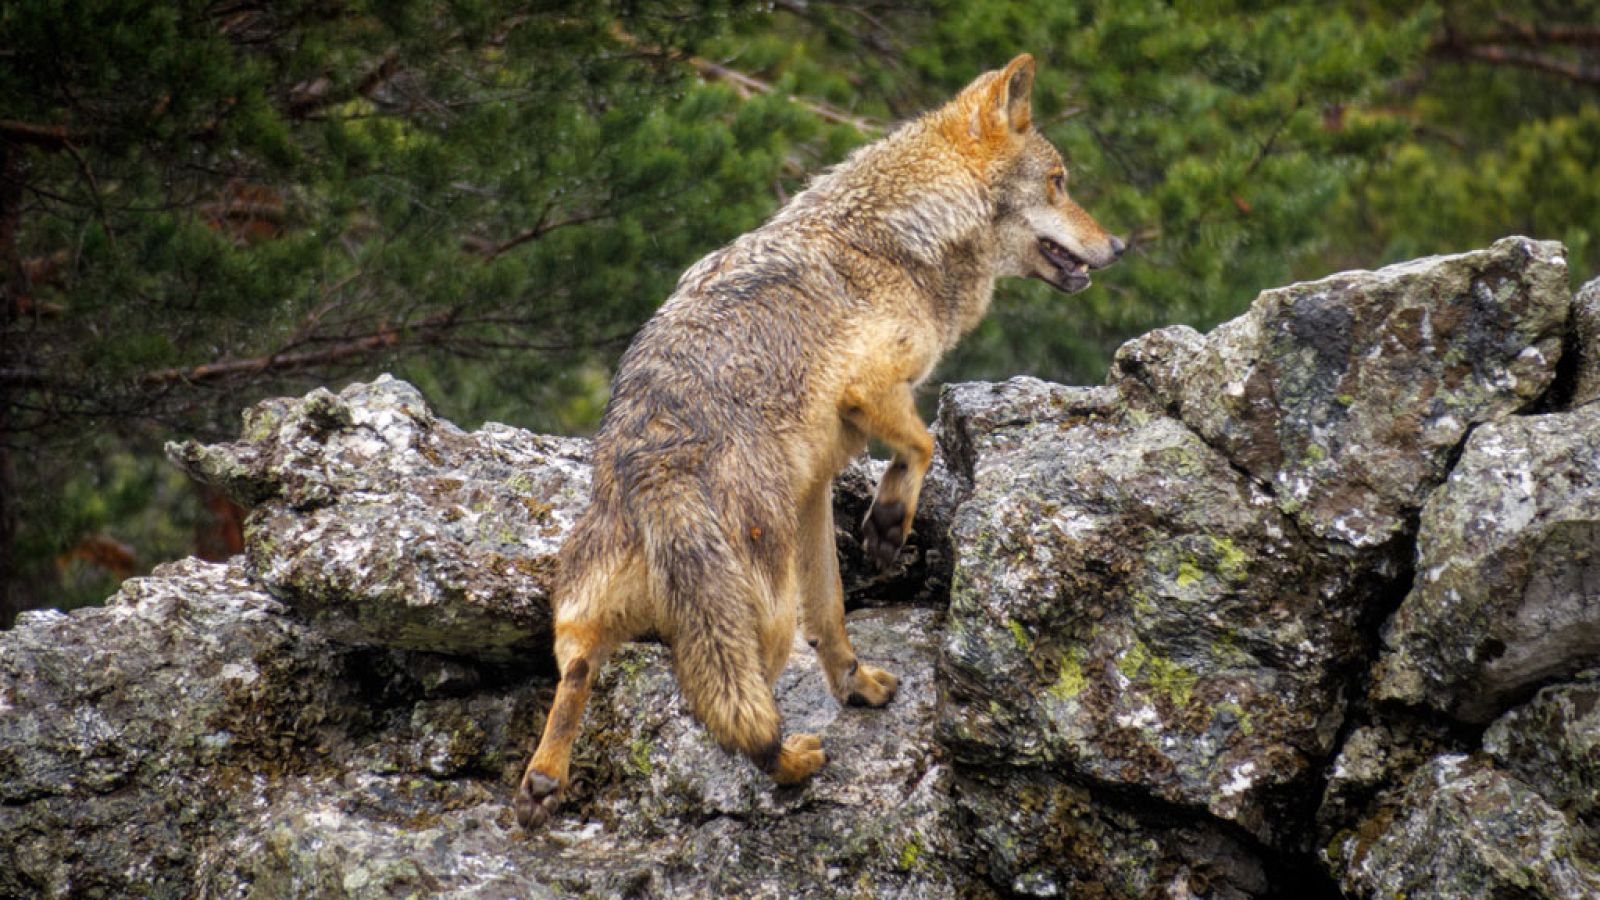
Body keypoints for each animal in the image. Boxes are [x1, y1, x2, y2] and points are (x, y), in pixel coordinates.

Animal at [515, 53, 1123, 829]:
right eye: (1059, 180)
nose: (1119, 245)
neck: (901, 236)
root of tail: (657, 469)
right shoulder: (871, 389)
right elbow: (922, 447)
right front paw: (890, 526)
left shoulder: (812, 489)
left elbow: (832, 610)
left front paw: (855, 685)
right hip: (759, 629)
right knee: (736, 725)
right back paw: (792, 765)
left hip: (588, 612)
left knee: (577, 670)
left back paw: (543, 784)